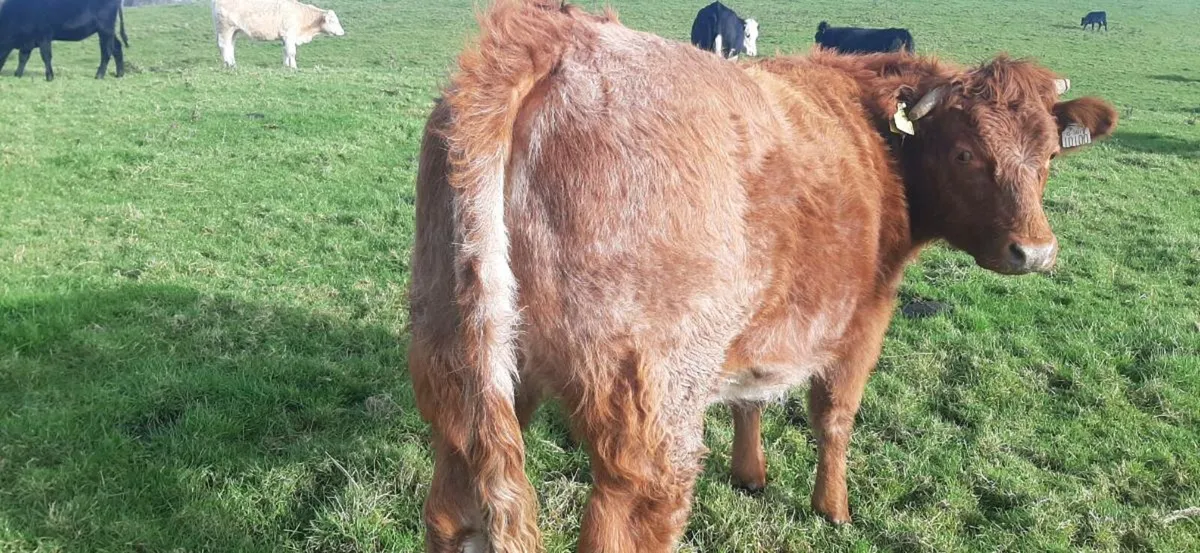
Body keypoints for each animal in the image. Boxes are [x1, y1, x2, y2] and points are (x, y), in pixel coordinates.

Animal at [0, 0, 129, 81]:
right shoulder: (27, 41)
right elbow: (23, 58)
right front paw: (17, 74)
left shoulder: (44, 36)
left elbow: (46, 56)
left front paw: (49, 77)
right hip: (108, 31)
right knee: (117, 47)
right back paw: (120, 74)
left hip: (105, 28)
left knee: (106, 51)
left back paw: (99, 75)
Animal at [211, 0, 344, 69]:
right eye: (333, 21)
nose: (342, 32)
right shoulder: (289, 35)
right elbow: (291, 52)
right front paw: (294, 67)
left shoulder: (285, 38)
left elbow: (285, 51)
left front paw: (286, 66)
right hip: (225, 29)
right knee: (224, 46)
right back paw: (228, 64)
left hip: (234, 31)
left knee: (230, 46)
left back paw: (233, 64)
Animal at [408, 1, 1117, 551]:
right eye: (968, 153)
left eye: (1049, 155)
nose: (1035, 251)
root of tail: (557, 36)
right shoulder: (864, 315)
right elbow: (834, 415)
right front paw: (834, 509)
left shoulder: (764, 322)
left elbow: (750, 397)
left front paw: (751, 473)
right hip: (646, 416)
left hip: (462, 372)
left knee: (450, 507)